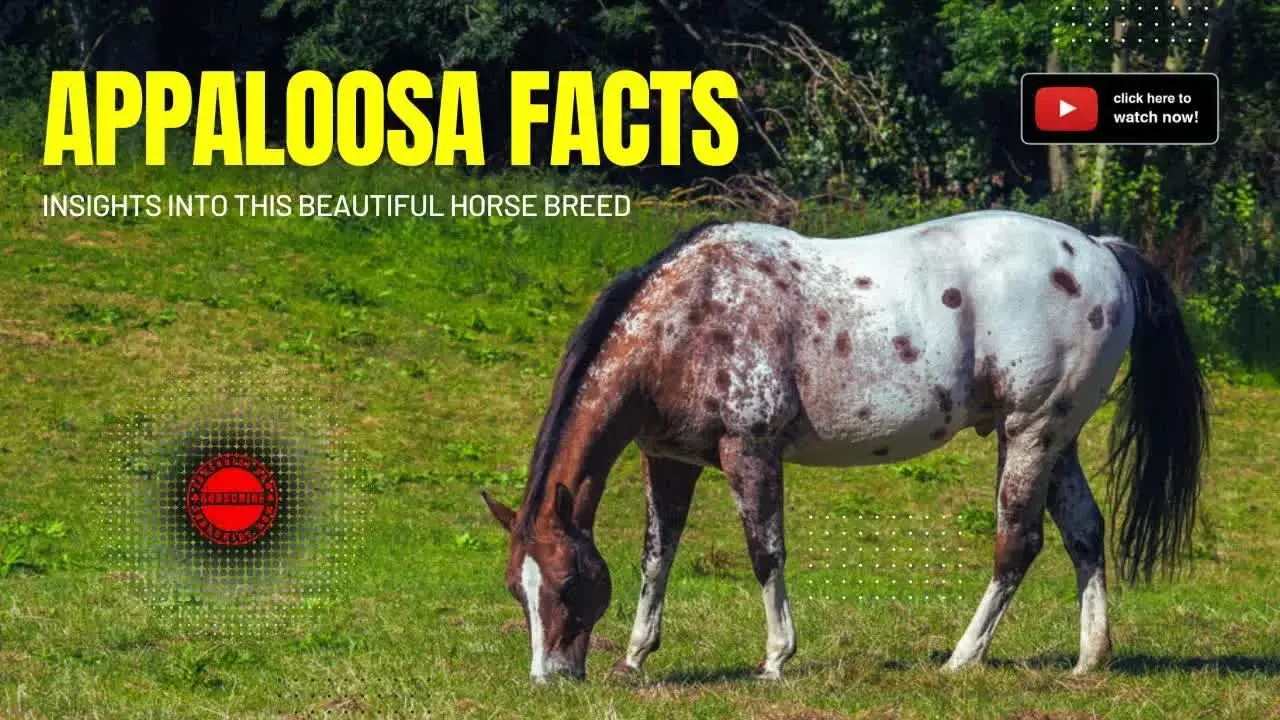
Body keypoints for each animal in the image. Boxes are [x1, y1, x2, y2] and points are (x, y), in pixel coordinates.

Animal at [481, 209, 1209, 683]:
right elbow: (657, 558)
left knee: (1018, 545)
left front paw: (777, 658)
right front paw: (635, 657)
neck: (686, 321)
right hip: (1058, 437)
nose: (550, 678)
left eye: (568, 583)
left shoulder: (750, 452)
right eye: (520, 589)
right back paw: (1089, 660)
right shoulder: (669, 460)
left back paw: (961, 658)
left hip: (1030, 433)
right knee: (1084, 532)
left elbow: (765, 554)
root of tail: (1099, 250)